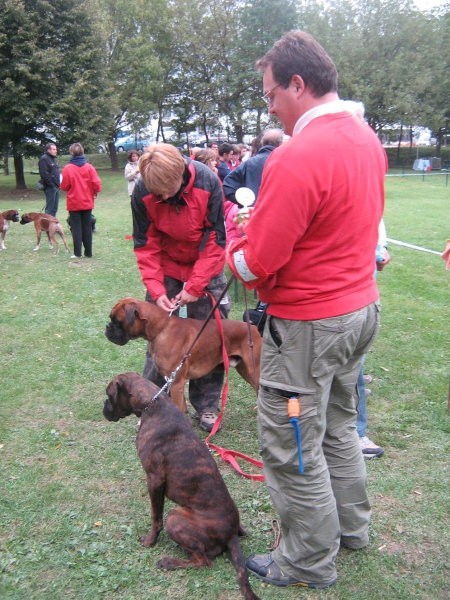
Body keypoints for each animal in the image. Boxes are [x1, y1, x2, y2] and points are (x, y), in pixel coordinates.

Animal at [101, 370, 256, 600]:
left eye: (109, 395)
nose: (103, 407)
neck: (152, 404)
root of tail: (230, 535)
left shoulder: (154, 480)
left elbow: (155, 517)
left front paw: (150, 541)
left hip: (175, 517)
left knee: (204, 561)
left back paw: (169, 562)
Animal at [104, 296, 262, 412]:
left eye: (116, 321)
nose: (107, 327)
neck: (161, 328)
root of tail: (253, 327)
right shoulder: (170, 381)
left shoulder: (176, 384)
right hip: (245, 370)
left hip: (254, 370)